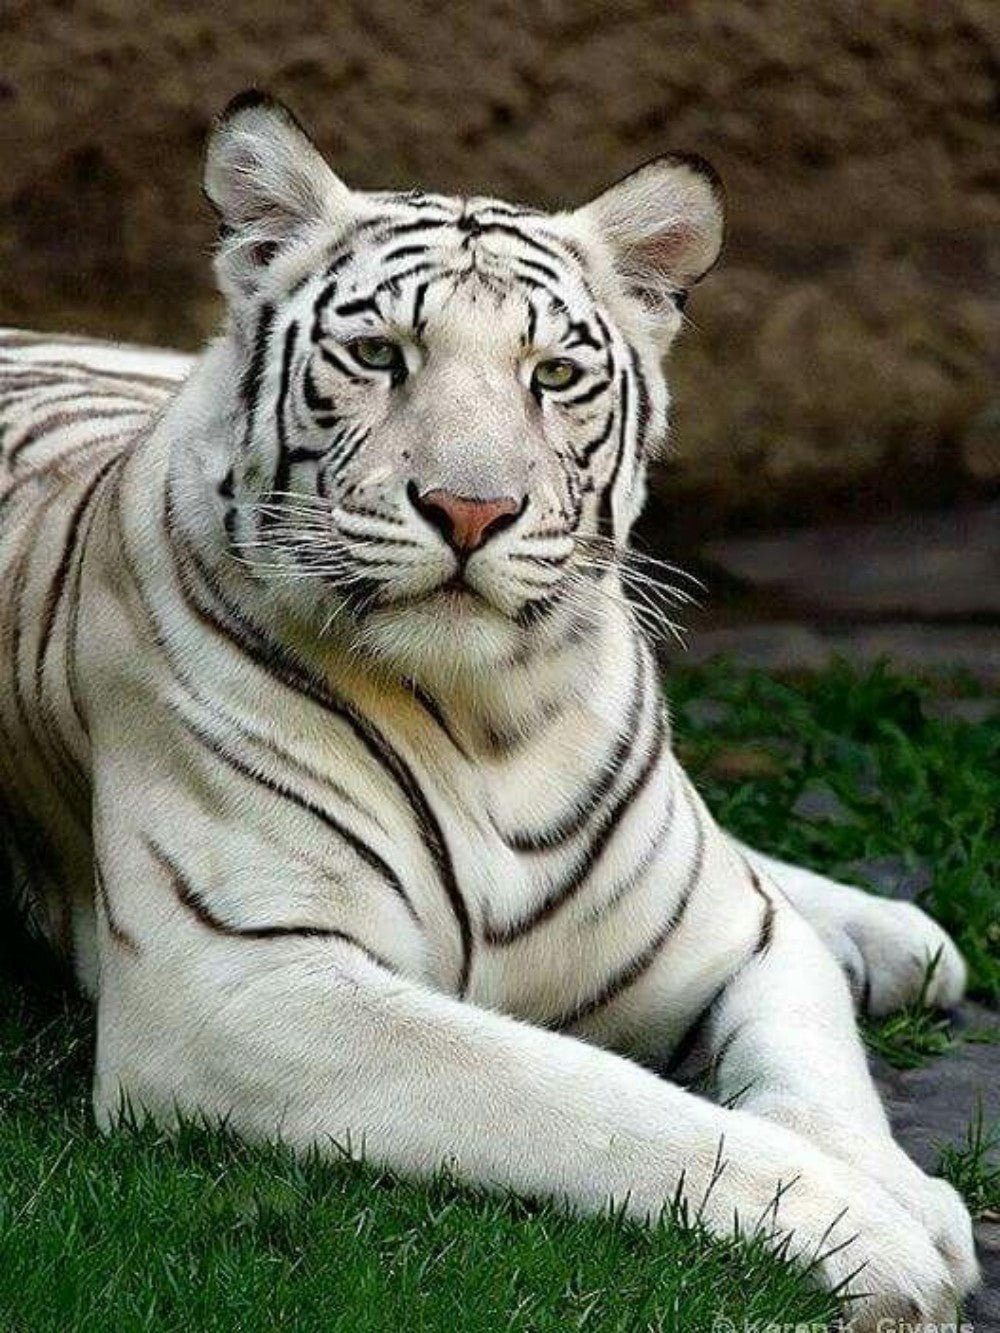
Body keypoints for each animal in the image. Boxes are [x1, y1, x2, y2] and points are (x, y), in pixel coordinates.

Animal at [0, 91, 978, 1327]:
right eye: (380, 354)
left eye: (552, 373)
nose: (471, 509)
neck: (486, 716)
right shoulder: (234, 982)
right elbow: (590, 1096)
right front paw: (875, 1233)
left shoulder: (734, 939)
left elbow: (817, 1075)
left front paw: (910, 1194)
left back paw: (892, 934)